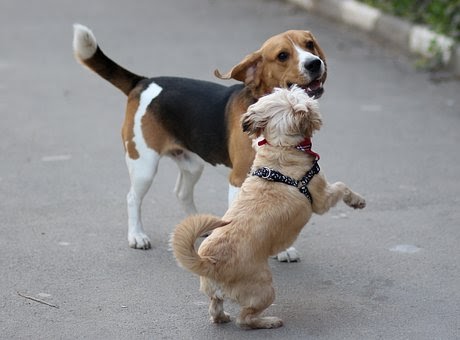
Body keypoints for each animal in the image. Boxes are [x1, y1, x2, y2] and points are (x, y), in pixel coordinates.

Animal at [171, 85, 364, 330]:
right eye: (303, 97)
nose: (306, 89)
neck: (281, 147)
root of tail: (210, 262)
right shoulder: (321, 198)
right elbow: (341, 187)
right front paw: (357, 201)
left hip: (217, 294)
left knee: (215, 308)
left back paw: (222, 317)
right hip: (264, 289)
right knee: (245, 319)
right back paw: (269, 321)